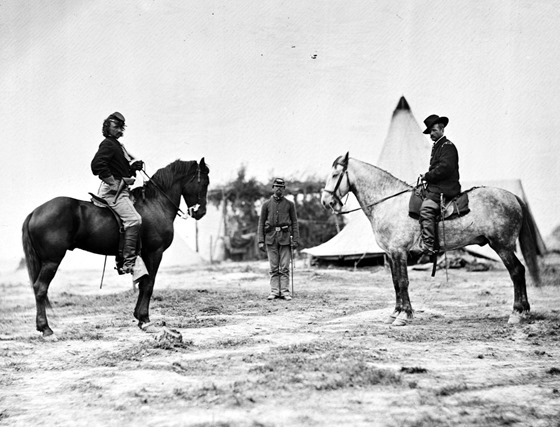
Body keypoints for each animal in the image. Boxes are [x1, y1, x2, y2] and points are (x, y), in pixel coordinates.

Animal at [20, 159, 210, 336]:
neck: (155, 203)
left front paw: (139, 317)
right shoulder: (154, 253)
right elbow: (148, 284)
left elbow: (142, 284)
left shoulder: (144, 255)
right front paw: (145, 319)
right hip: (52, 261)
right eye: (204, 182)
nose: (201, 212)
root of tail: (35, 212)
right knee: (40, 288)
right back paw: (45, 328)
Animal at [324, 154, 544, 328]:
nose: (326, 202)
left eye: (335, 175)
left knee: (517, 272)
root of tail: (512, 196)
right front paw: (395, 313)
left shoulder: (399, 252)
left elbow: (403, 282)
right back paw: (524, 312)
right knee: (519, 271)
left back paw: (517, 313)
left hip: (502, 246)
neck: (388, 202)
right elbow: (395, 282)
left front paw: (404, 315)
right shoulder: (391, 253)